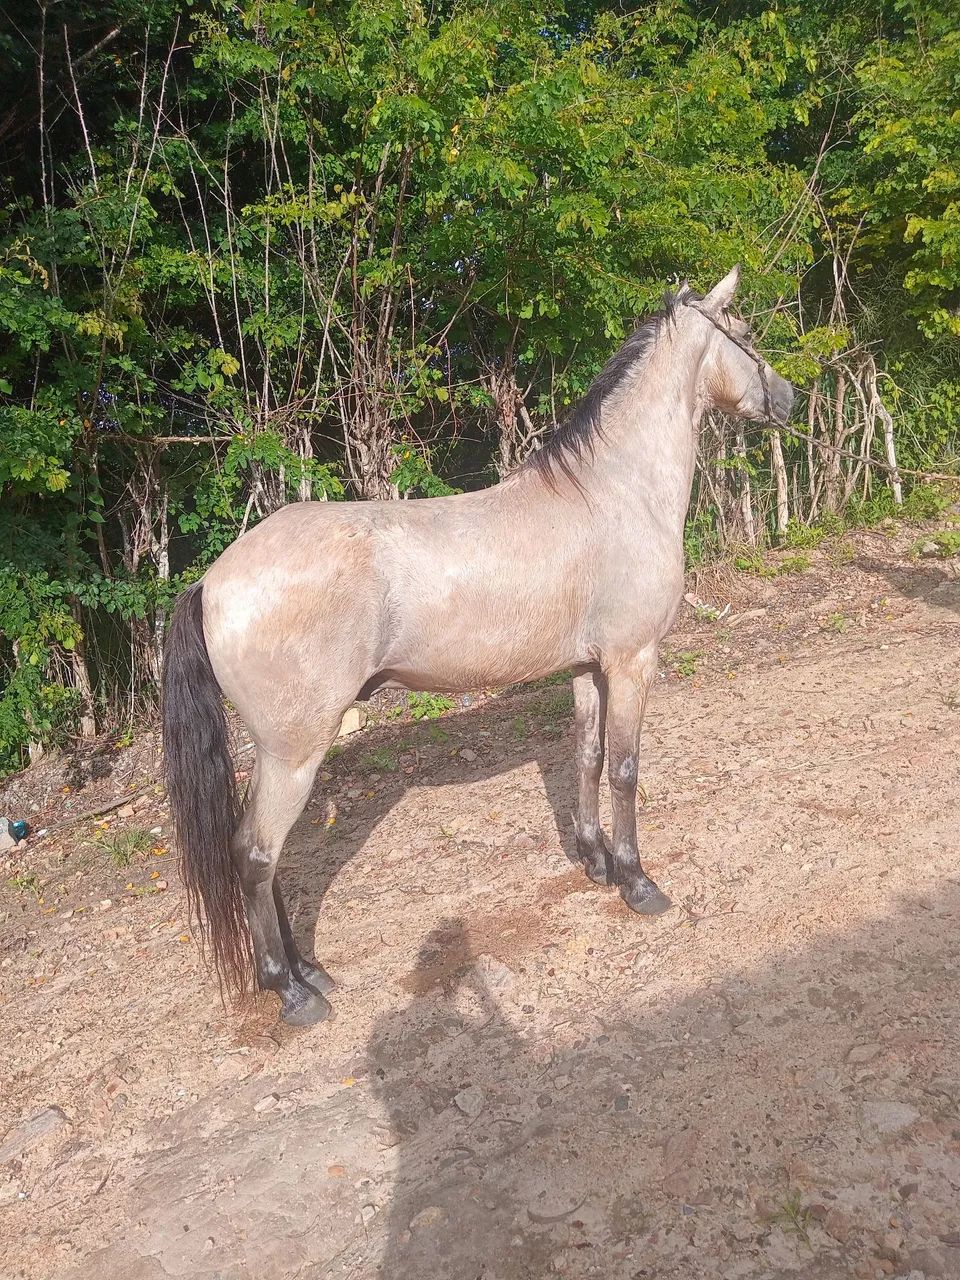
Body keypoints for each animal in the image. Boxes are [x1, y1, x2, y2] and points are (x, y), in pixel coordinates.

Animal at [162, 265, 795, 1025]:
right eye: (746, 333)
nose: (791, 397)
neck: (614, 490)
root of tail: (210, 581)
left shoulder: (587, 668)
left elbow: (584, 758)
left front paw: (595, 862)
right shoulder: (632, 662)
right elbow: (624, 770)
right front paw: (638, 883)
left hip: (279, 753)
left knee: (268, 857)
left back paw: (311, 971)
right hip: (294, 751)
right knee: (256, 854)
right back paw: (290, 989)